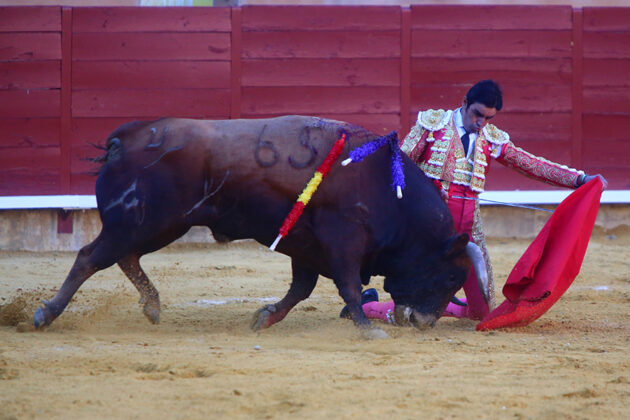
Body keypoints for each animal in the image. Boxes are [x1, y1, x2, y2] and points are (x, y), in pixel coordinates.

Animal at [33, 115, 488, 338]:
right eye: (451, 276)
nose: (424, 323)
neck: (384, 183)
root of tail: (124, 139)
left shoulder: (307, 247)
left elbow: (301, 288)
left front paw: (265, 317)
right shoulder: (343, 241)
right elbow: (347, 286)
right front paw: (366, 329)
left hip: (158, 226)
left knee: (124, 257)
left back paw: (152, 306)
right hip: (140, 221)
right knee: (90, 257)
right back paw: (45, 314)